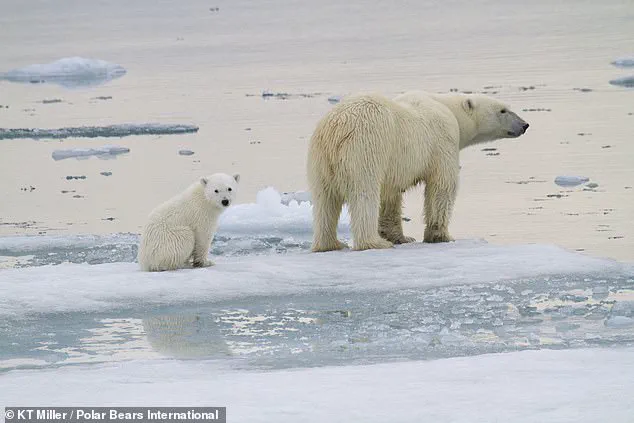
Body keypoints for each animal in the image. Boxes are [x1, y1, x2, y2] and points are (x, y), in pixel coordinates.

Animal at [306, 92, 528, 252]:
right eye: (503, 110)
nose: (525, 124)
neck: (449, 109)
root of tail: (335, 129)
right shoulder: (443, 141)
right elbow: (442, 185)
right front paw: (441, 236)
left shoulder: (393, 166)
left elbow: (390, 196)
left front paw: (400, 237)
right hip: (365, 147)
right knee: (364, 194)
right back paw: (373, 243)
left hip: (319, 159)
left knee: (324, 200)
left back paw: (330, 244)